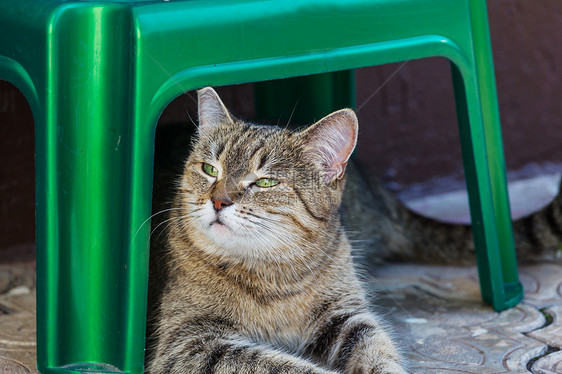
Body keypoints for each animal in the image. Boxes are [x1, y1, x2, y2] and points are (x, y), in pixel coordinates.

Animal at [147, 86, 404, 372]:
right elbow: (278, 365)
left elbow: (377, 345)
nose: (218, 201)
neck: (274, 275)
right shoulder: (187, 341)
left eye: (266, 182)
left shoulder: (345, 313)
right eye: (210, 169)